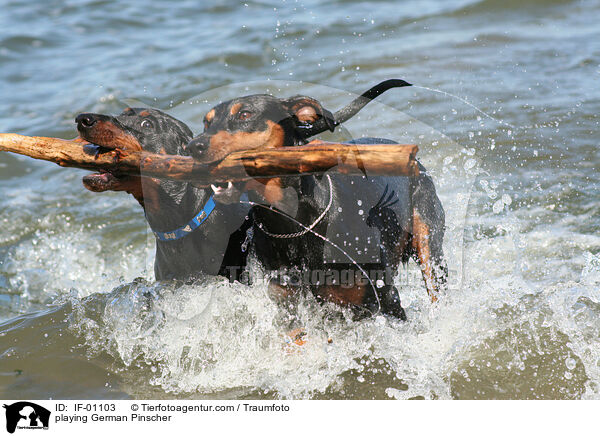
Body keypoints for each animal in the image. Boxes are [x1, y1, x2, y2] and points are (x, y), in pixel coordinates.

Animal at [190, 81, 448, 320]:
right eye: (206, 123)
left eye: (244, 115)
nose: (194, 146)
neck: (292, 222)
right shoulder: (287, 300)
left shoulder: (385, 299)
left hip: (429, 247)